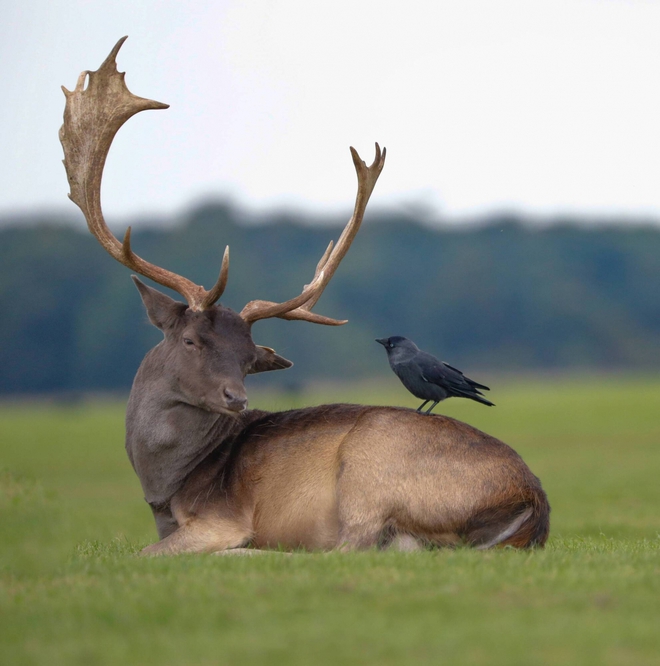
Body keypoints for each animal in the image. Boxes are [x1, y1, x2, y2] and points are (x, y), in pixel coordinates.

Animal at [59, 37, 548, 556]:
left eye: (248, 357)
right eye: (190, 340)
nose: (237, 398)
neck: (162, 490)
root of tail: (533, 499)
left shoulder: (218, 517)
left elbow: (147, 553)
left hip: (368, 466)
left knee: (345, 547)